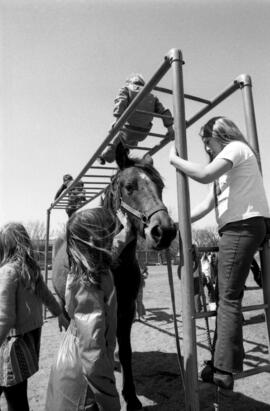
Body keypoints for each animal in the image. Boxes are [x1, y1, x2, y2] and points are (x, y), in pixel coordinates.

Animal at [52, 144, 177, 408]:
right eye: (129, 187)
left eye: (160, 186)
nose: (165, 231)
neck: (117, 261)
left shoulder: (127, 308)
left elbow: (127, 351)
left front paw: (131, 396)